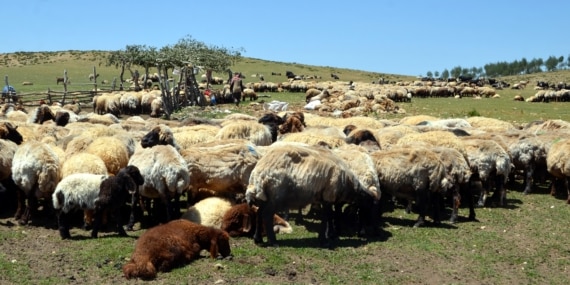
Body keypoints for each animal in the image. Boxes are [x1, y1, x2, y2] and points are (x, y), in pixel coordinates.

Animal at [244, 143, 378, 245]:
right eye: (368, 206)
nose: (367, 231)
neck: (349, 184)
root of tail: (257, 173)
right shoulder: (329, 194)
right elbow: (327, 216)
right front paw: (325, 238)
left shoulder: (324, 198)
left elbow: (329, 216)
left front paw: (327, 235)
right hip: (275, 195)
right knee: (267, 214)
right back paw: (273, 241)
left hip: (265, 196)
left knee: (259, 213)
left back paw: (258, 239)